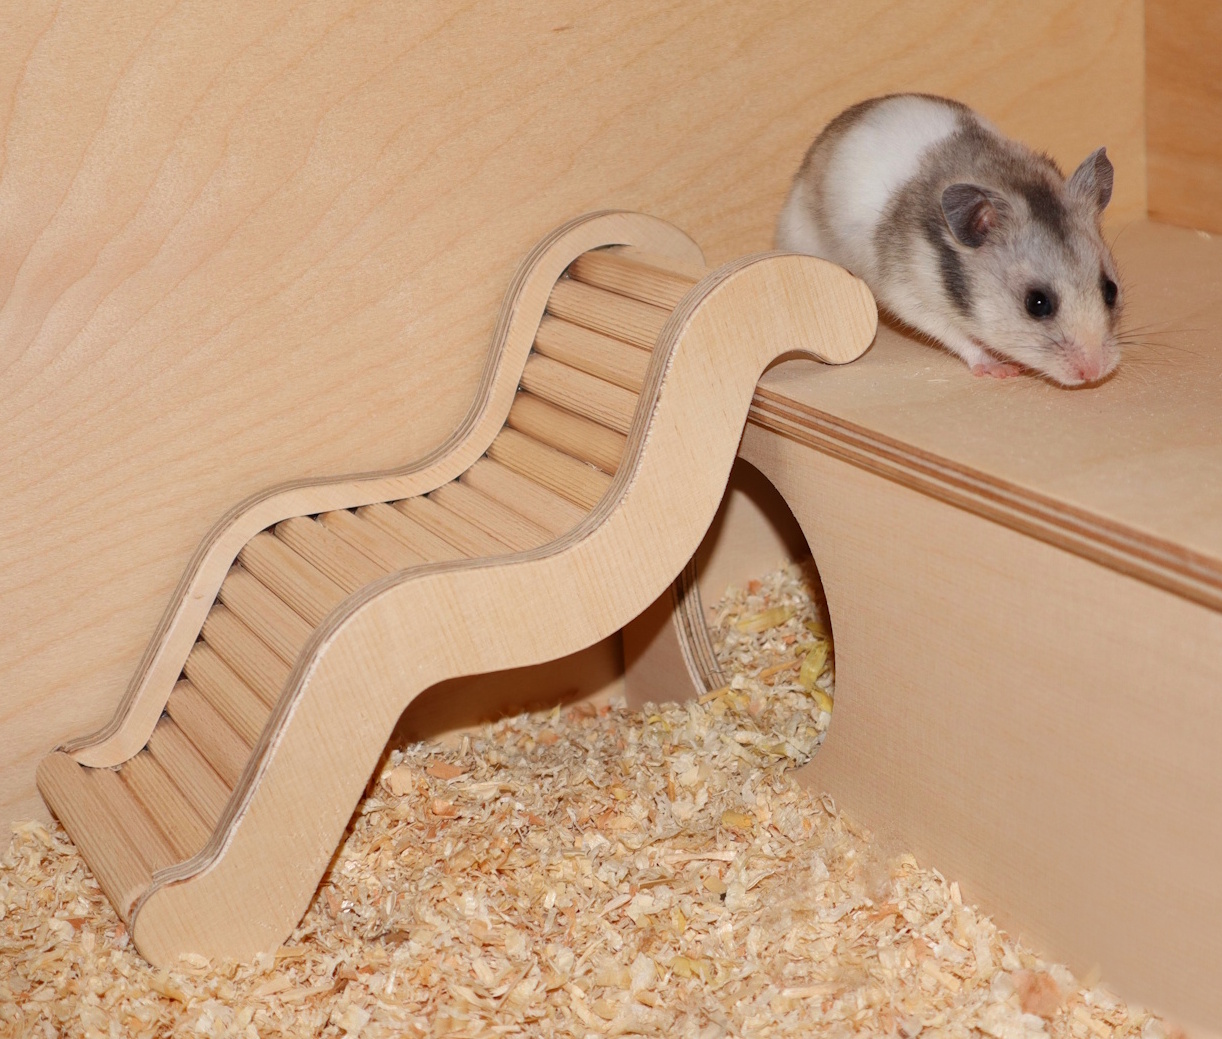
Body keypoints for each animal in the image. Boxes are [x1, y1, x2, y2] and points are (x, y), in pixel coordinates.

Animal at [775, 94, 1122, 385]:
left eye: (1111, 290)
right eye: (1037, 304)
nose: (1095, 372)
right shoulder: (911, 298)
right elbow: (958, 336)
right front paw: (1002, 370)